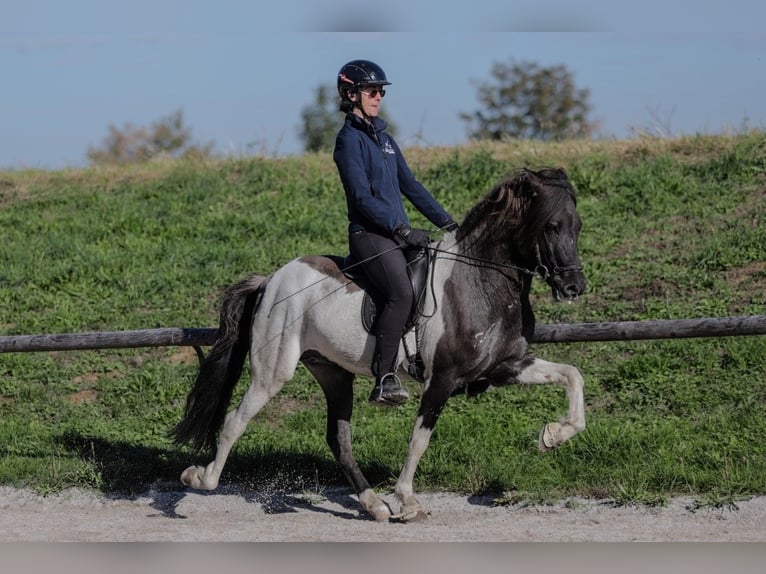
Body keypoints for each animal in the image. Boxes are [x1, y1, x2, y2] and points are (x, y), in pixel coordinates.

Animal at [171, 166, 587, 522]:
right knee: (235, 421)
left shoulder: (505, 366)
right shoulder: (442, 379)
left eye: (577, 226)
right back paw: (198, 478)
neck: (480, 281)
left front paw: (553, 435)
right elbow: (419, 439)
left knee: (338, 439)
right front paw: (407, 500)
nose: (574, 288)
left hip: (333, 372)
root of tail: (271, 279)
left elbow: (572, 375)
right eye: (551, 227)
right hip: (273, 371)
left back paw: (373, 505)